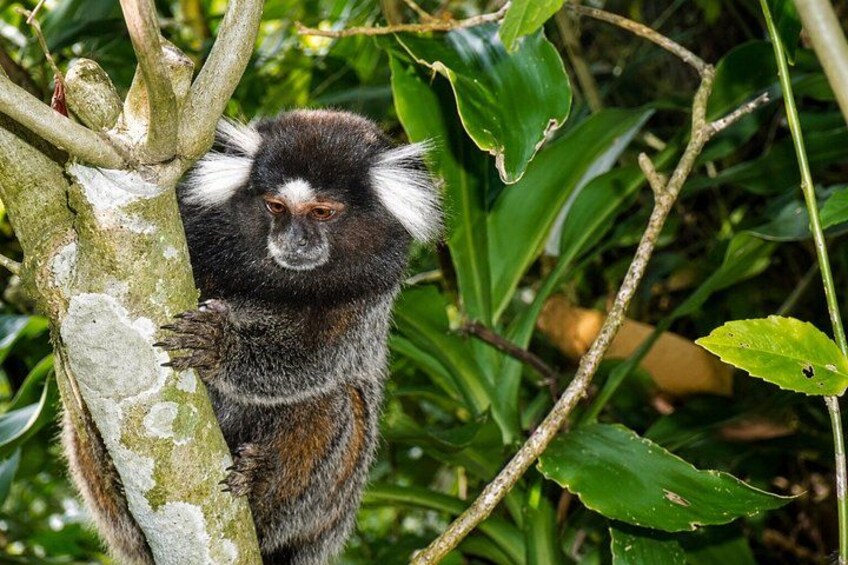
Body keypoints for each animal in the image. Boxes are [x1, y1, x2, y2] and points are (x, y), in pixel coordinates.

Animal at [62, 109, 442, 564]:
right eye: (275, 206)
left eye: (322, 212)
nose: (294, 240)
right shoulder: (194, 228)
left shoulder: (371, 294)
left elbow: (314, 363)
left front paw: (220, 347)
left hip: (324, 507)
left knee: (335, 400)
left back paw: (258, 484)